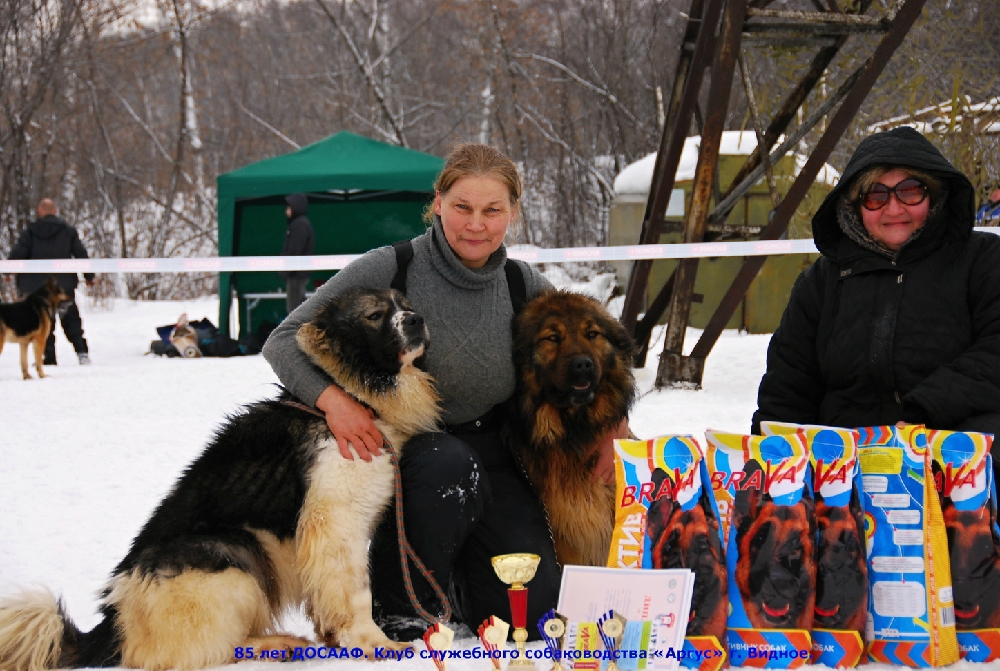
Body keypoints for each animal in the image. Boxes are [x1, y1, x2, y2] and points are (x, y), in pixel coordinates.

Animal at [0, 288, 442, 671]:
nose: (417, 320)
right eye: (375, 315)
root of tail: (115, 621)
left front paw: (336, 638)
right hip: (236, 557)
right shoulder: (336, 523)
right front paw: (376, 644)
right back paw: (277, 645)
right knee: (208, 648)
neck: (354, 397)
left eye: (405, 305)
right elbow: (355, 592)